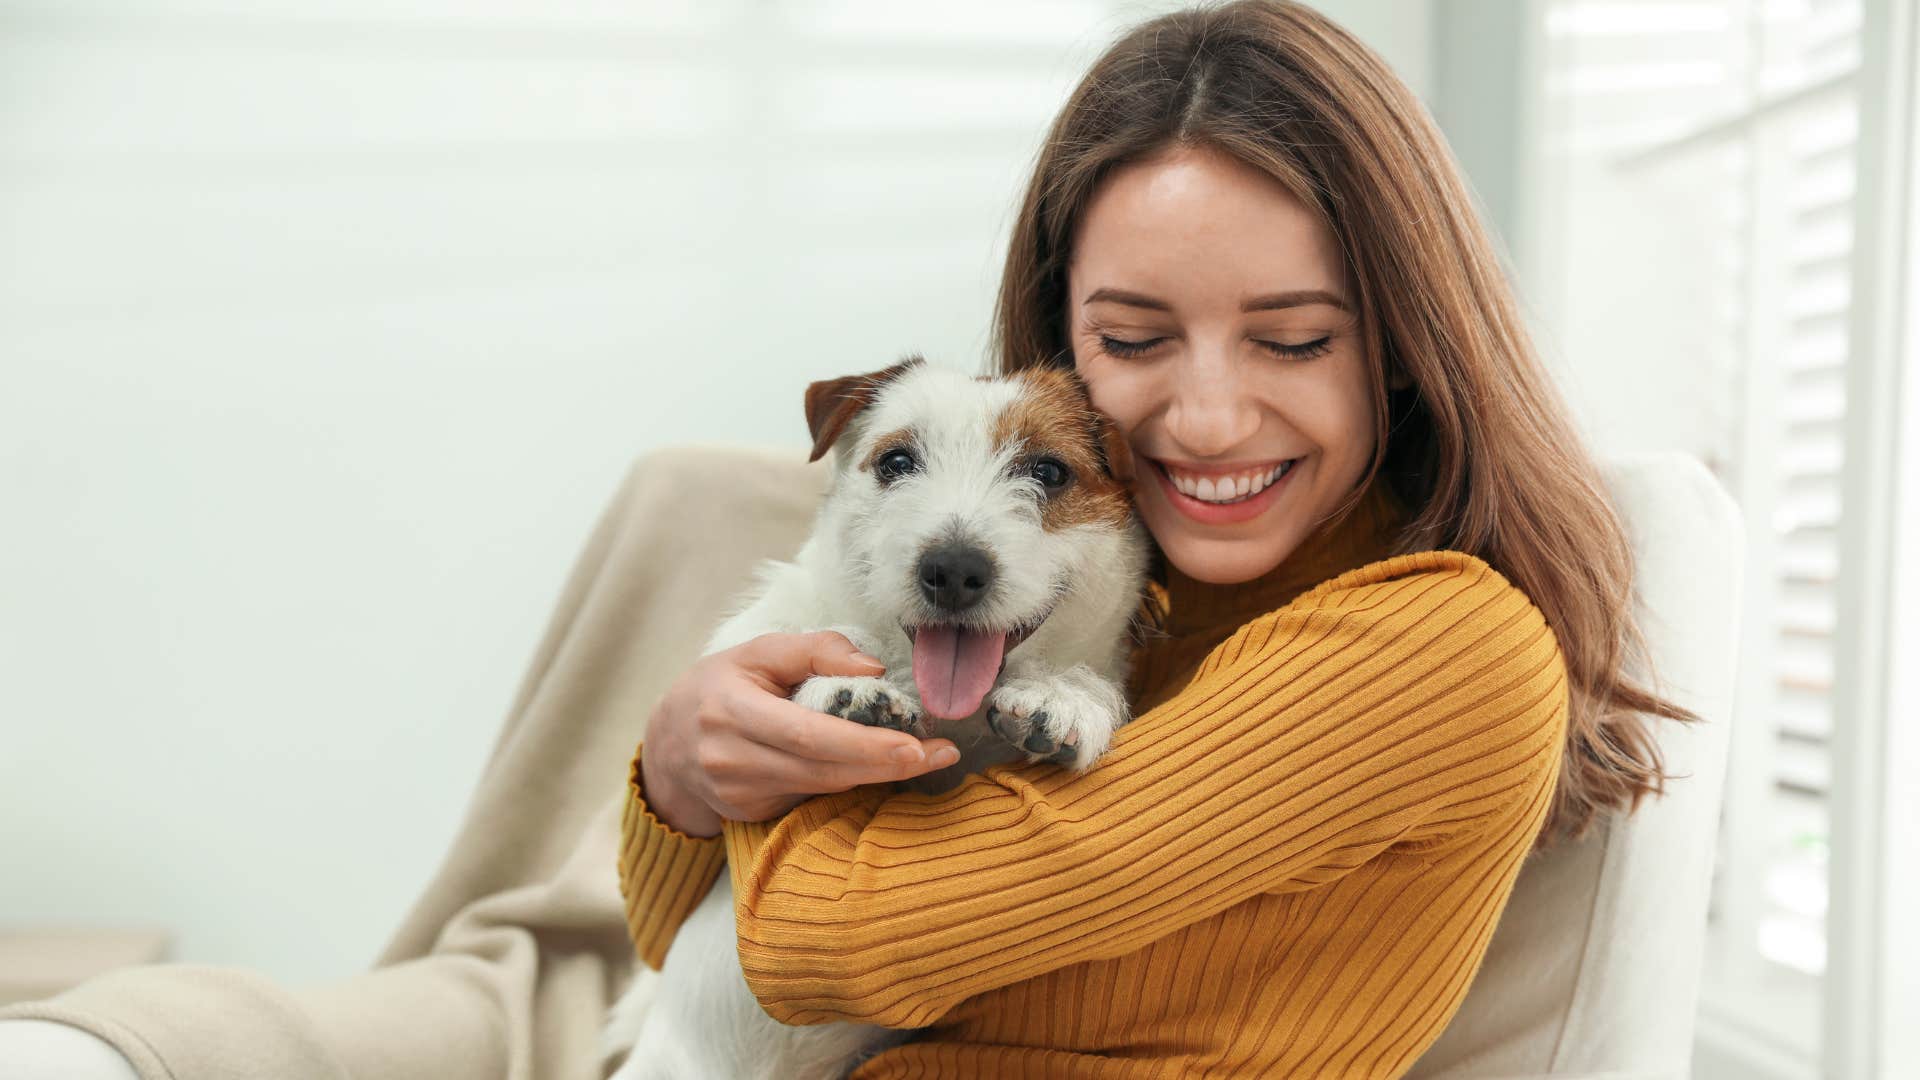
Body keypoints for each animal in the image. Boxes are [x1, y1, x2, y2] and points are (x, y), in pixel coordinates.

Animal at [595, 355, 1152, 1076]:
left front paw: (1065, 698)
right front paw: (849, 688)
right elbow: (822, 636)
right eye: (896, 461)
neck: (953, 720)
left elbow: (1086, 683)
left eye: (1050, 472)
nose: (952, 569)